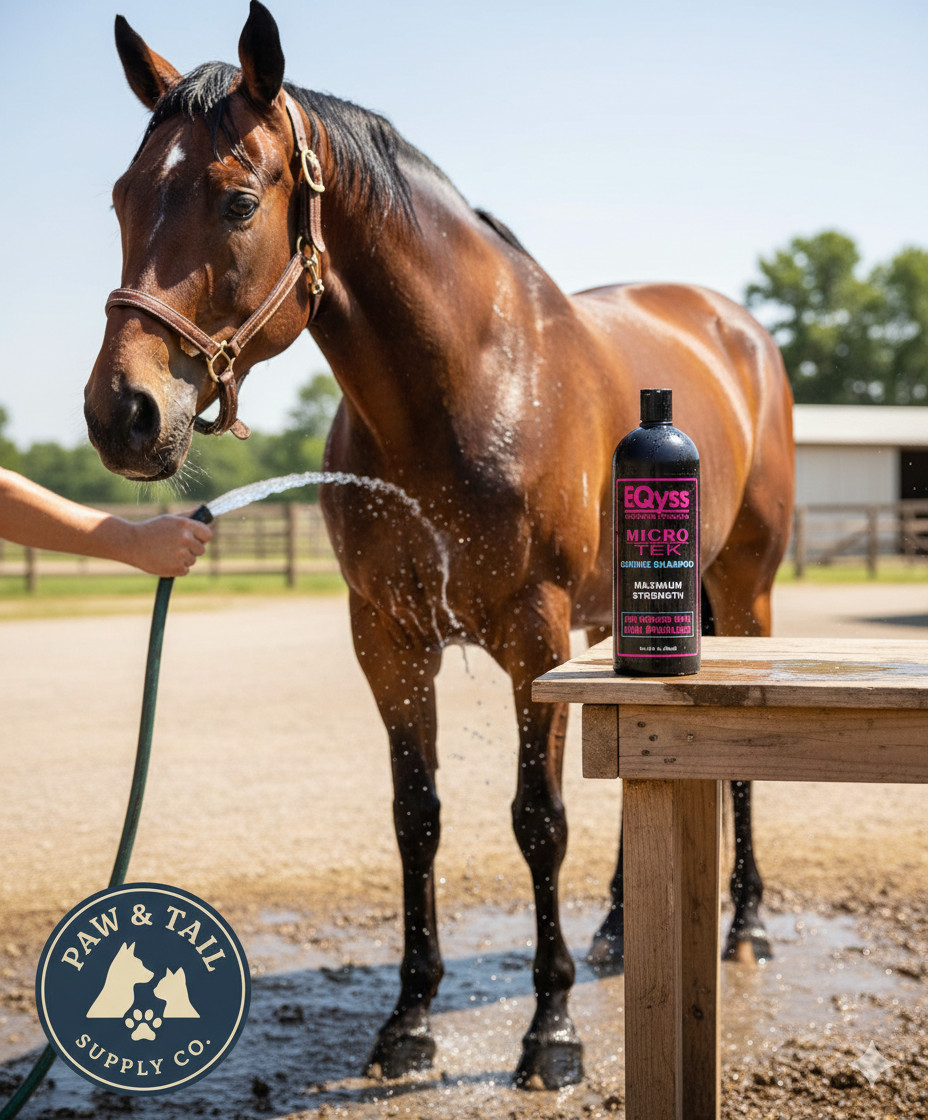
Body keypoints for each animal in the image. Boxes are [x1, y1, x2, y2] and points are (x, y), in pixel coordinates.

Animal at [84, 1, 795, 1090]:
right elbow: (416, 816)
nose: (123, 414)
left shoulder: (535, 641)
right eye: (123, 196)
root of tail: (734, 327)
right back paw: (618, 933)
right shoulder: (388, 638)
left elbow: (538, 820)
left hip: (742, 587)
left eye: (238, 200)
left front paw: (551, 1034)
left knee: (739, 769)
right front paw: (409, 1020)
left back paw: (745, 925)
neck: (465, 384)